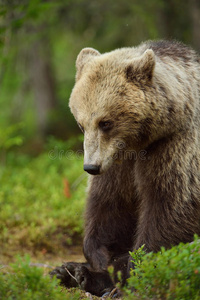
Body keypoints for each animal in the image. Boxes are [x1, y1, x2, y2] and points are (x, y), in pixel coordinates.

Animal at [50, 41, 200, 296]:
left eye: (105, 122)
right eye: (81, 124)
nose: (90, 167)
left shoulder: (176, 148)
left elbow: (172, 205)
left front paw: (134, 265)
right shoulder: (118, 163)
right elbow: (111, 202)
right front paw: (100, 257)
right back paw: (70, 272)